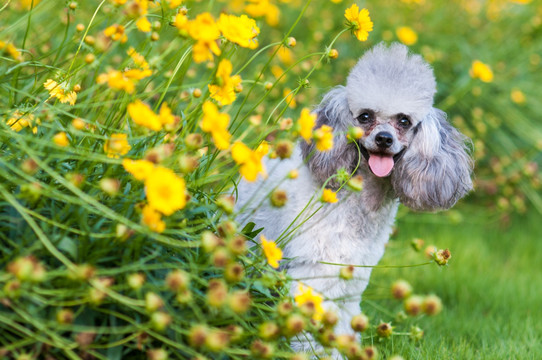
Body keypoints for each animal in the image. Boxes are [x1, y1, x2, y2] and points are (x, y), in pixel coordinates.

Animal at [236, 43, 474, 354]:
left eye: (404, 120)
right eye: (365, 116)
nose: (384, 139)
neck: (359, 201)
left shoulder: (351, 276)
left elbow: (342, 322)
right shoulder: (314, 271)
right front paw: (317, 354)